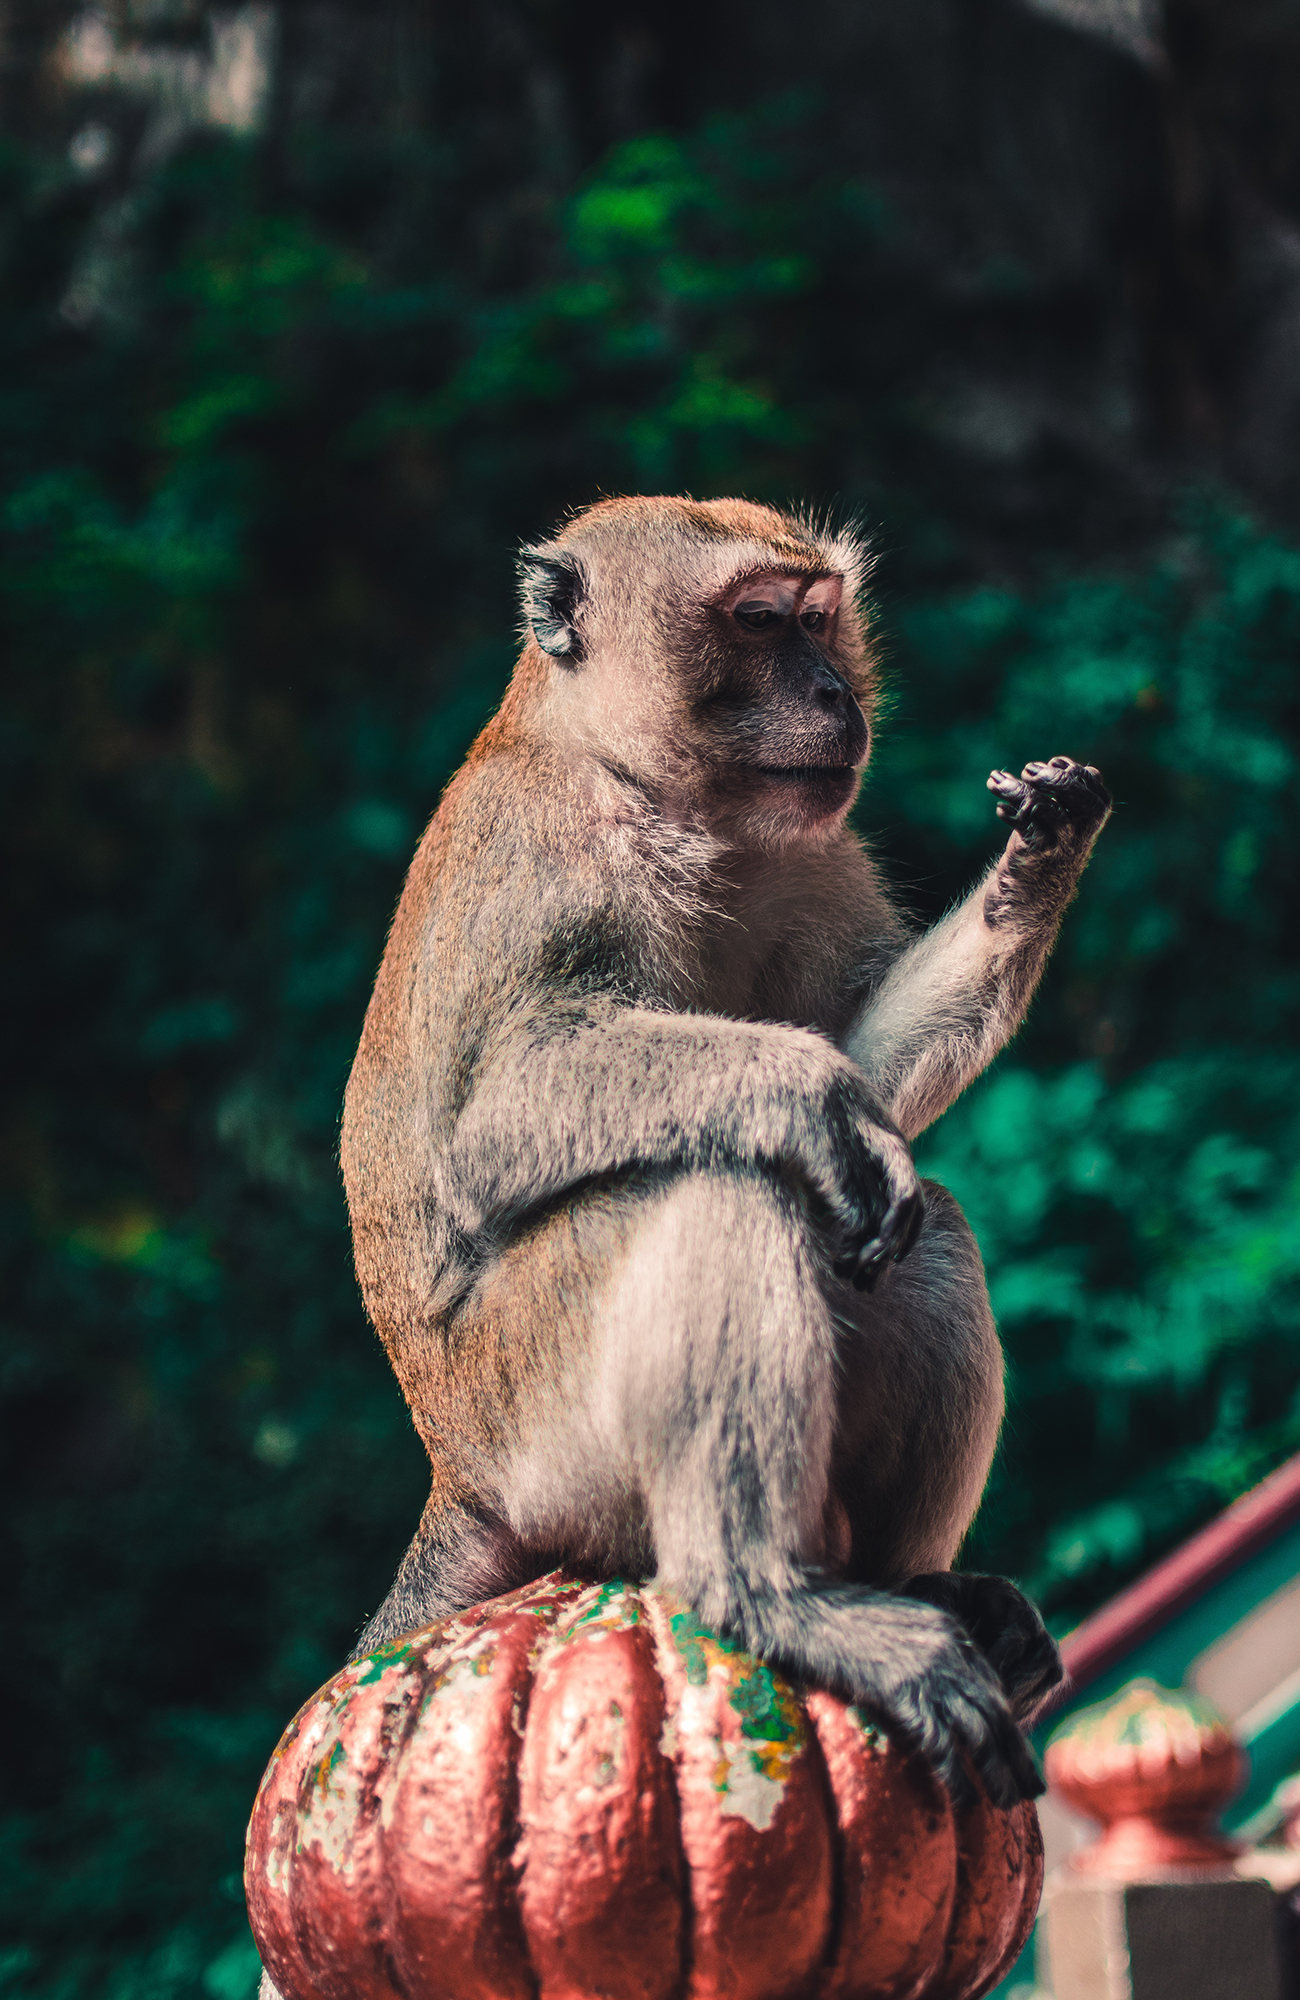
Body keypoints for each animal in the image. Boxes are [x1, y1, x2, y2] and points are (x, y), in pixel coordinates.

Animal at [338, 494, 1112, 1811]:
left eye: (818, 619)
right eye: (755, 622)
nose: (835, 694)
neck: (651, 787)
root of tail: (457, 1473)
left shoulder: (814, 846)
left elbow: (871, 1083)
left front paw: (1036, 859)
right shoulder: (564, 856)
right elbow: (494, 1119)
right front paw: (805, 1091)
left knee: (917, 1226)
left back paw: (911, 1586)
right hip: (539, 1420)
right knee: (716, 1188)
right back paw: (765, 1591)